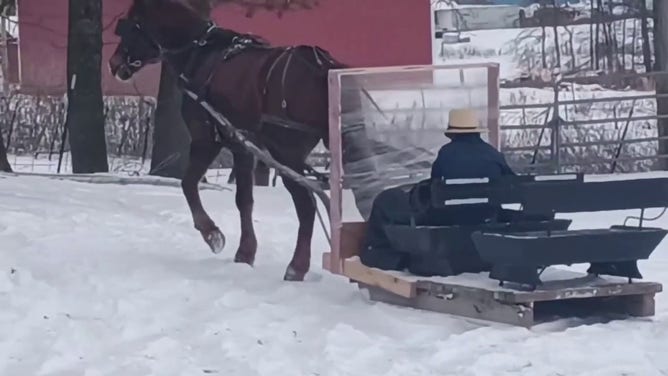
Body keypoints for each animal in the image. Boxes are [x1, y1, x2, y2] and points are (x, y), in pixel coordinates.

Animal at [109, 0, 380, 280]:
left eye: (130, 25)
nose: (113, 63)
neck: (199, 54)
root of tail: (323, 66)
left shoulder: (206, 139)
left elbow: (189, 184)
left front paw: (212, 234)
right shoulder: (242, 147)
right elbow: (244, 200)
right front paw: (245, 252)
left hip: (286, 154)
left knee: (307, 205)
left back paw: (297, 267)